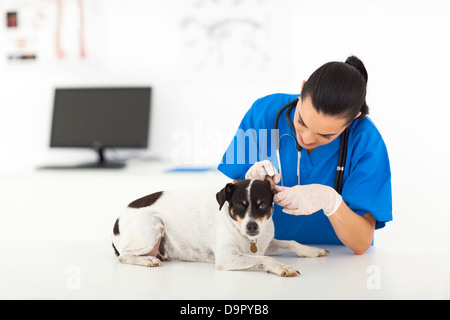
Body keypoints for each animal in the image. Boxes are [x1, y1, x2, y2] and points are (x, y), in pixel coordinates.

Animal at [110, 179, 328, 276]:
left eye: (262, 205)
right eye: (239, 205)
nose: (251, 227)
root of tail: (117, 220)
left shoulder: (264, 243)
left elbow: (290, 242)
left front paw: (311, 250)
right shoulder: (226, 257)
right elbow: (265, 258)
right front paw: (282, 266)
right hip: (153, 225)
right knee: (124, 255)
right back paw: (147, 260)